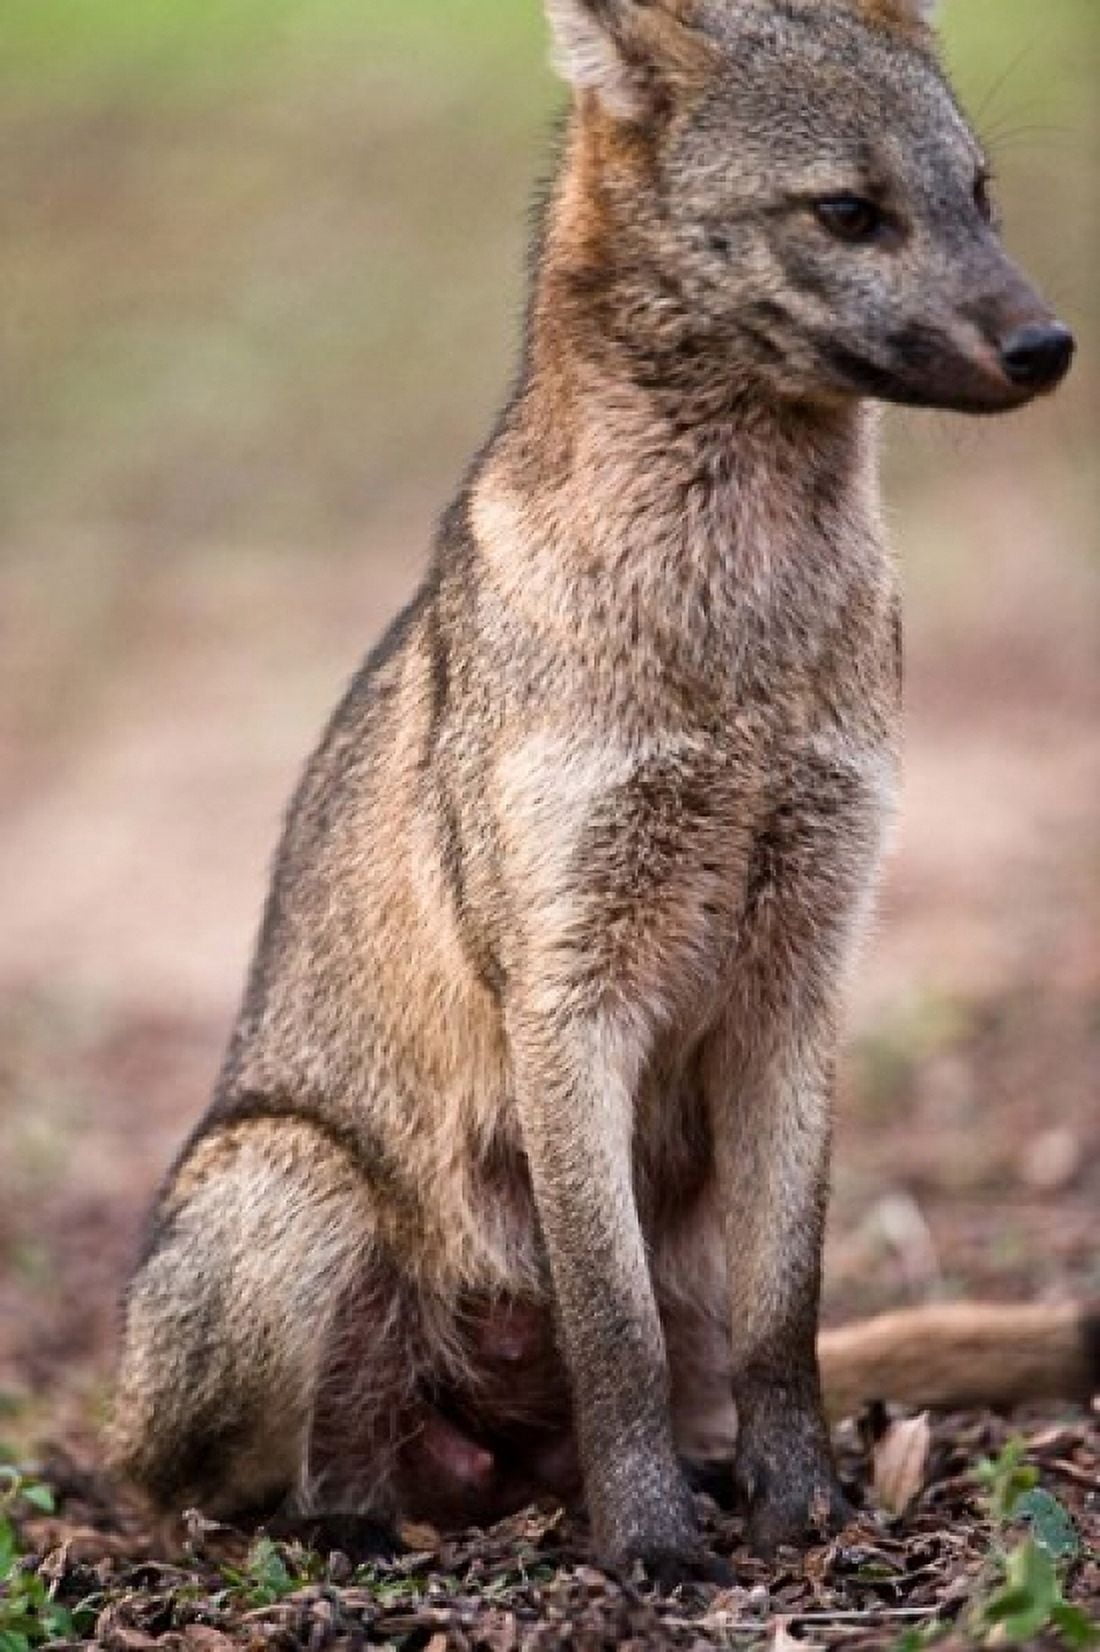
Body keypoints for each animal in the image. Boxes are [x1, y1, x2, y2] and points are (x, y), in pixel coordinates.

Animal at [111, 0, 1090, 1586]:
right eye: (850, 212)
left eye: (979, 196)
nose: (1048, 345)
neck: (731, 644)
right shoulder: (571, 991)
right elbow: (608, 1324)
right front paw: (648, 1544)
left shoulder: (801, 974)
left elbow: (785, 1320)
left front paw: (802, 1508)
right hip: (298, 1187)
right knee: (240, 1489)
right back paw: (361, 1525)